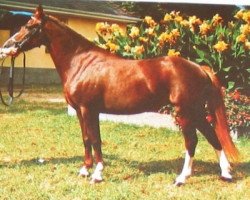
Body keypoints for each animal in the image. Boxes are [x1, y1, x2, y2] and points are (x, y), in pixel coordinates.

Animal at [0, 5, 238, 186]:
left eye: (29, 26)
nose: (6, 48)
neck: (81, 62)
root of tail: (199, 68)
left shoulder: (88, 109)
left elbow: (95, 140)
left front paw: (97, 174)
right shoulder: (80, 111)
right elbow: (86, 139)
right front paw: (85, 170)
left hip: (185, 112)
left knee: (192, 141)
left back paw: (181, 178)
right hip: (196, 111)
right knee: (212, 136)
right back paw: (225, 173)